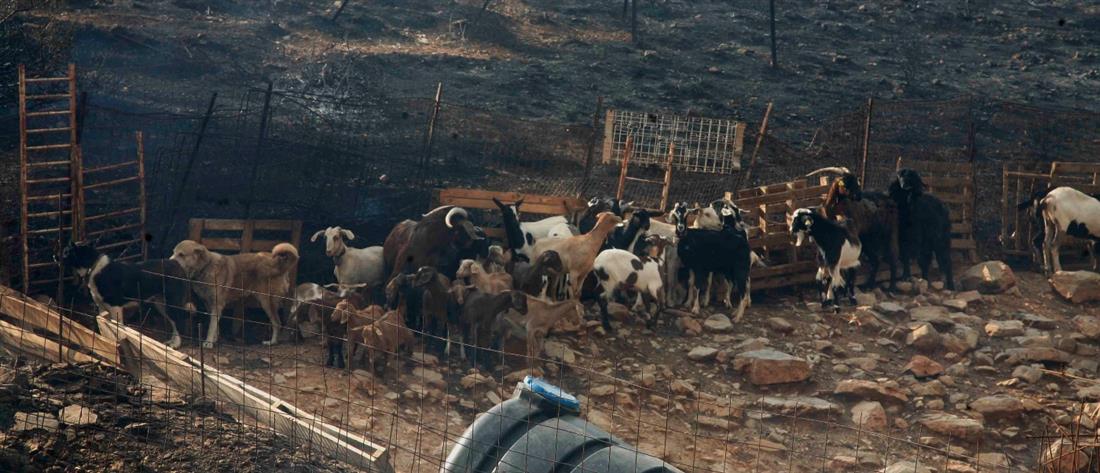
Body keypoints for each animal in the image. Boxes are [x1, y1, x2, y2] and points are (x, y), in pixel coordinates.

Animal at [60, 244, 191, 347]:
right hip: (161, 304)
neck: (93, 267)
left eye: (66, 252)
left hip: (171, 303)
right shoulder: (101, 307)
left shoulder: (115, 307)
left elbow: (118, 326)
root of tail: (177, 264)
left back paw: (176, 344)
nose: (56, 257)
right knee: (174, 322)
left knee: (179, 321)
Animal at [169, 239, 297, 347]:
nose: (167, 262)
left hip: (266, 302)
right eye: (173, 252)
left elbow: (211, 326)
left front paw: (208, 343)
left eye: (181, 255)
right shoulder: (209, 304)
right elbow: (215, 326)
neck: (205, 267)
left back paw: (272, 342)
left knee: (277, 323)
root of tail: (278, 263)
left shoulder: (217, 305)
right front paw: (214, 339)